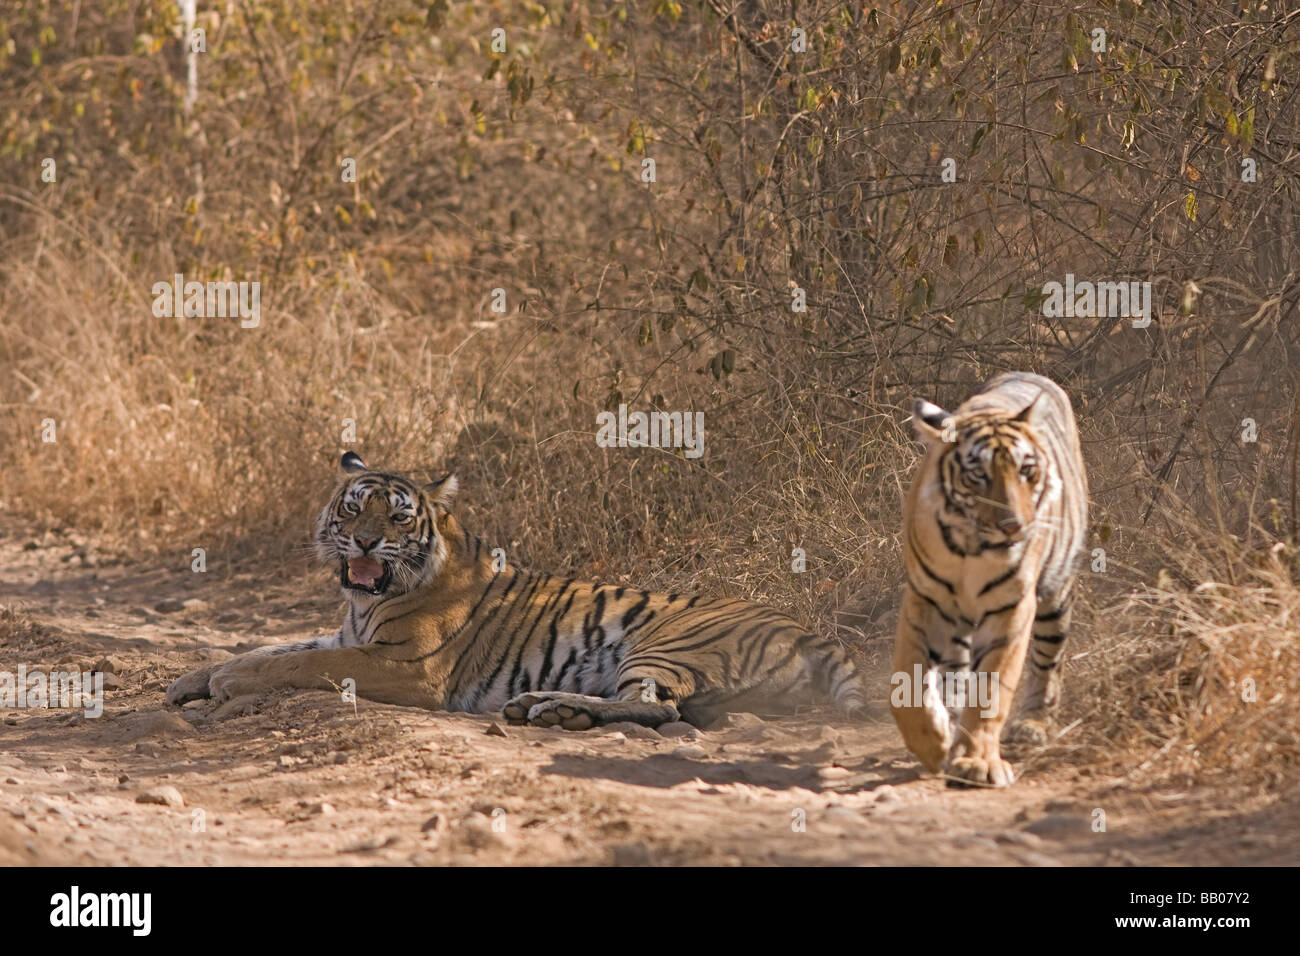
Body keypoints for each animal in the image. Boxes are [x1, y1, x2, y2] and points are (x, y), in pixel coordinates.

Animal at [167, 452, 868, 728]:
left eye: (398, 518)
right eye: (354, 509)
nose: (364, 543)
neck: (366, 601)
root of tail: (812, 631)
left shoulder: (404, 666)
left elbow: (296, 664)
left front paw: (226, 682)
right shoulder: (346, 633)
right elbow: (273, 649)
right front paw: (191, 680)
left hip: (667, 643)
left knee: (661, 710)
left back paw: (549, 707)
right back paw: (549, 706)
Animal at [894, 369, 1086, 790]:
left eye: (1026, 471)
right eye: (978, 475)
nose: (1013, 525)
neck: (972, 548)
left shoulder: (1011, 607)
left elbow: (990, 691)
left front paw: (976, 763)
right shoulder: (925, 599)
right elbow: (910, 682)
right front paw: (932, 744)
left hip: (1054, 594)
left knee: (1048, 662)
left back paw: (1033, 724)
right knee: (955, 670)